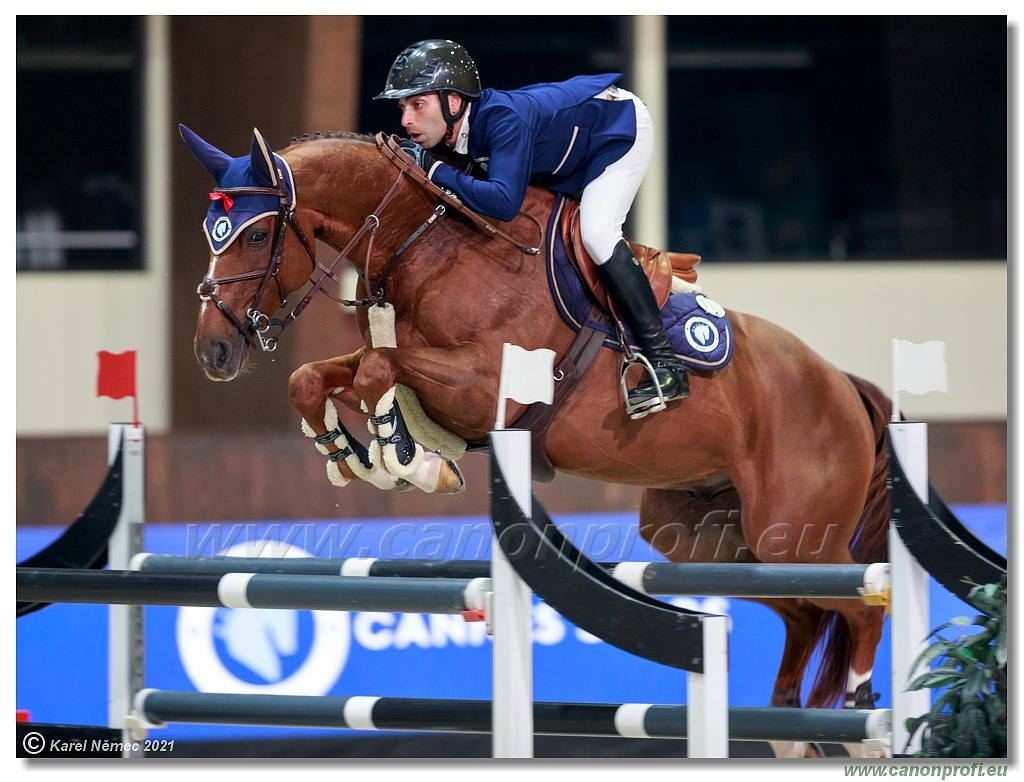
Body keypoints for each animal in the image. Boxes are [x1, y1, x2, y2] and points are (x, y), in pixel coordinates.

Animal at [182, 126, 888, 757]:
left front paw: (404, 460)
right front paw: (353, 454)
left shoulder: (484, 384)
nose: (212, 351)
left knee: (862, 601)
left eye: (255, 234)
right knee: (805, 612)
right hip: (708, 541)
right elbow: (317, 376)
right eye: (211, 233)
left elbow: (381, 371)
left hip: (791, 533)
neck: (422, 242)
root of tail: (845, 386)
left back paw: (864, 721)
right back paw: (789, 729)